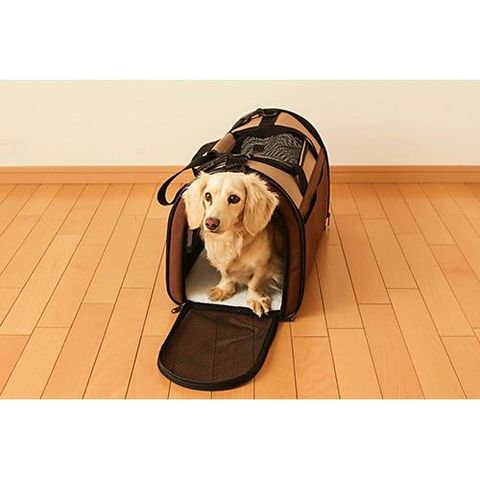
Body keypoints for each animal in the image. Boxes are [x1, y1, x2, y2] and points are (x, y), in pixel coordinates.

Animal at [182, 171, 284, 316]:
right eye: (207, 196)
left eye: (234, 198)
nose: (210, 223)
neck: (230, 239)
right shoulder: (222, 264)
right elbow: (226, 276)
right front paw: (224, 289)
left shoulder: (263, 266)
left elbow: (255, 283)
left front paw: (256, 300)